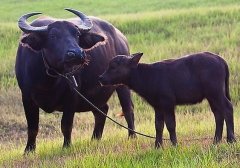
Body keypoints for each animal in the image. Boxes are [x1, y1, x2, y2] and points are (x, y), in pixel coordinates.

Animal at [16, 9, 136, 154]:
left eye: (77, 34)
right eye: (53, 36)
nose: (77, 54)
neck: (49, 79)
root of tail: (120, 37)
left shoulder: (72, 97)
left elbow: (66, 125)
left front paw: (66, 146)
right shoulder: (26, 98)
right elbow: (32, 127)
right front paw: (28, 150)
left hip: (122, 85)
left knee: (128, 108)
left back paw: (132, 136)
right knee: (101, 111)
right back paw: (95, 139)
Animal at [99, 51, 236, 148]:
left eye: (113, 66)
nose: (101, 78)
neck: (148, 76)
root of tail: (220, 59)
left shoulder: (168, 104)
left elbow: (170, 124)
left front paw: (175, 145)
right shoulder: (158, 106)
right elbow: (158, 126)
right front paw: (157, 146)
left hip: (216, 92)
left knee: (228, 108)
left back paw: (231, 140)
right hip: (212, 96)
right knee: (218, 114)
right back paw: (216, 141)